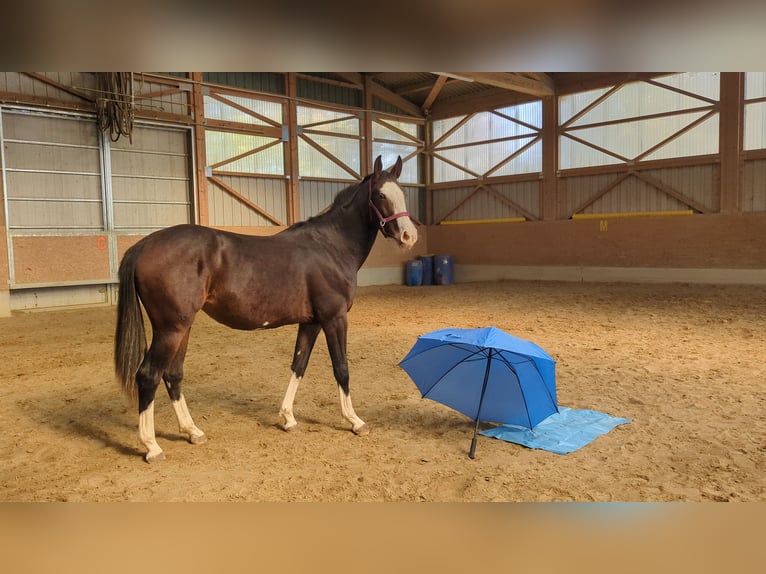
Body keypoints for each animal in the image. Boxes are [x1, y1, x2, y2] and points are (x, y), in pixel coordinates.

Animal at [114, 155, 418, 462]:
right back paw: (152, 446)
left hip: (183, 327)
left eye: (403, 194)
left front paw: (288, 419)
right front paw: (354, 421)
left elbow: (298, 365)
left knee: (172, 374)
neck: (331, 246)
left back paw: (192, 431)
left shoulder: (311, 322)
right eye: (380, 195)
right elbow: (341, 368)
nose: (409, 236)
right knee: (148, 375)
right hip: (170, 329)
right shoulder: (335, 318)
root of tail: (143, 245)